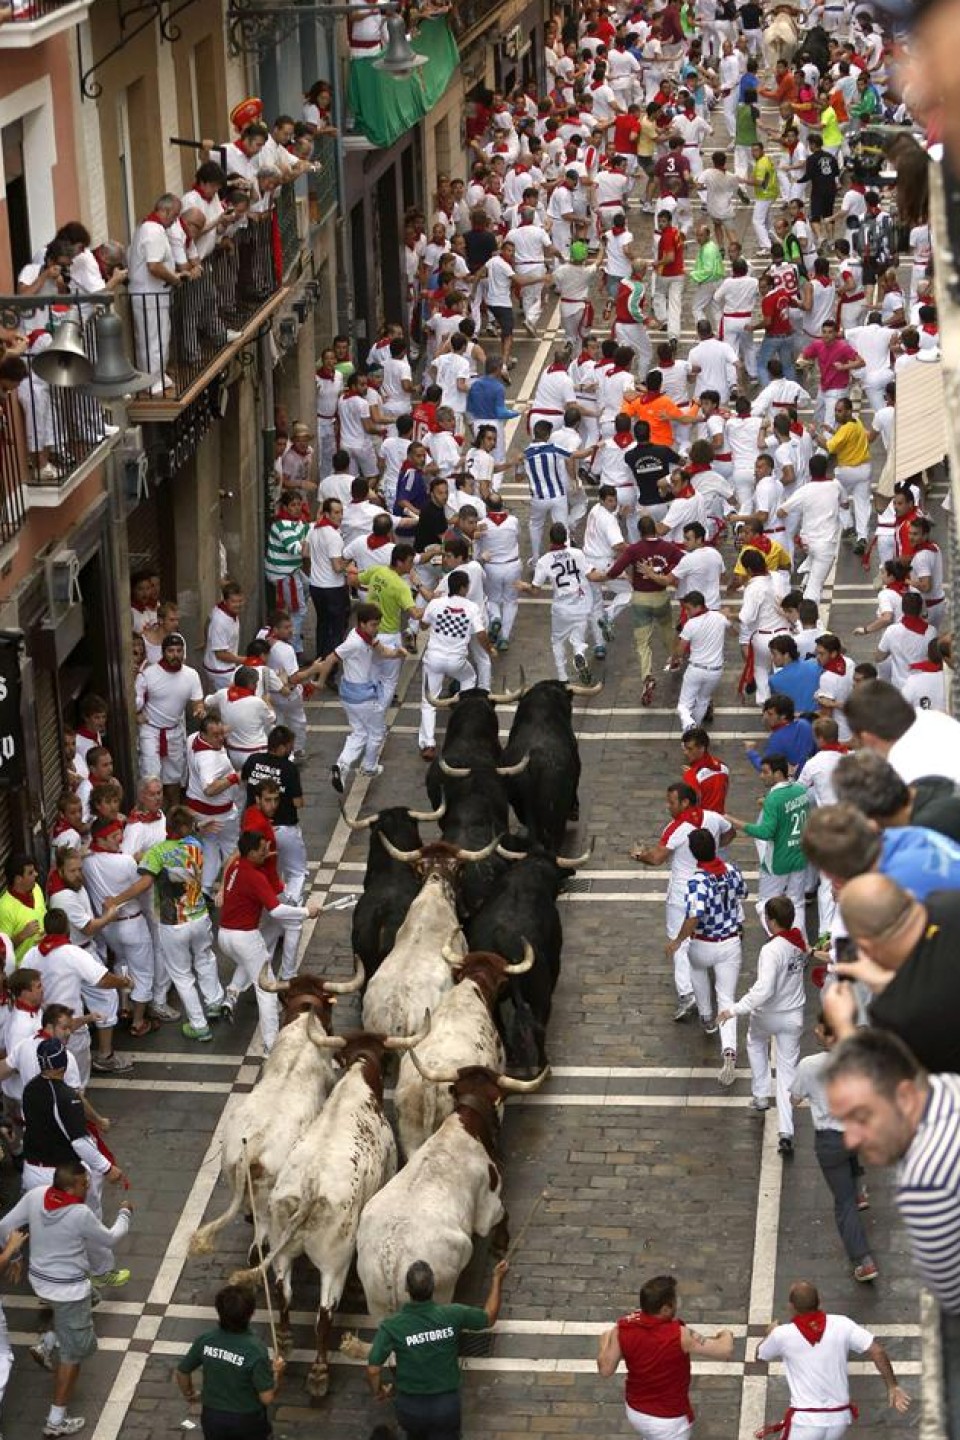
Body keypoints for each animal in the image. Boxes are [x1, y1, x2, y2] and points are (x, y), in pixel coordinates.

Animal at [230, 1013, 428, 1393]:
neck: (357, 1079)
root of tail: (309, 1191)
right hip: (333, 1263)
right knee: (324, 1314)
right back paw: (319, 1371)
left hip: (283, 1251)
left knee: (284, 1294)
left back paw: (287, 1341)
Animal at [356, 1065, 546, 1319]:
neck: (463, 1126)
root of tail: (390, 1257)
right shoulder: (487, 1206)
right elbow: (503, 1214)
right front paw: (501, 1243)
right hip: (441, 1292)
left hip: (376, 1304)